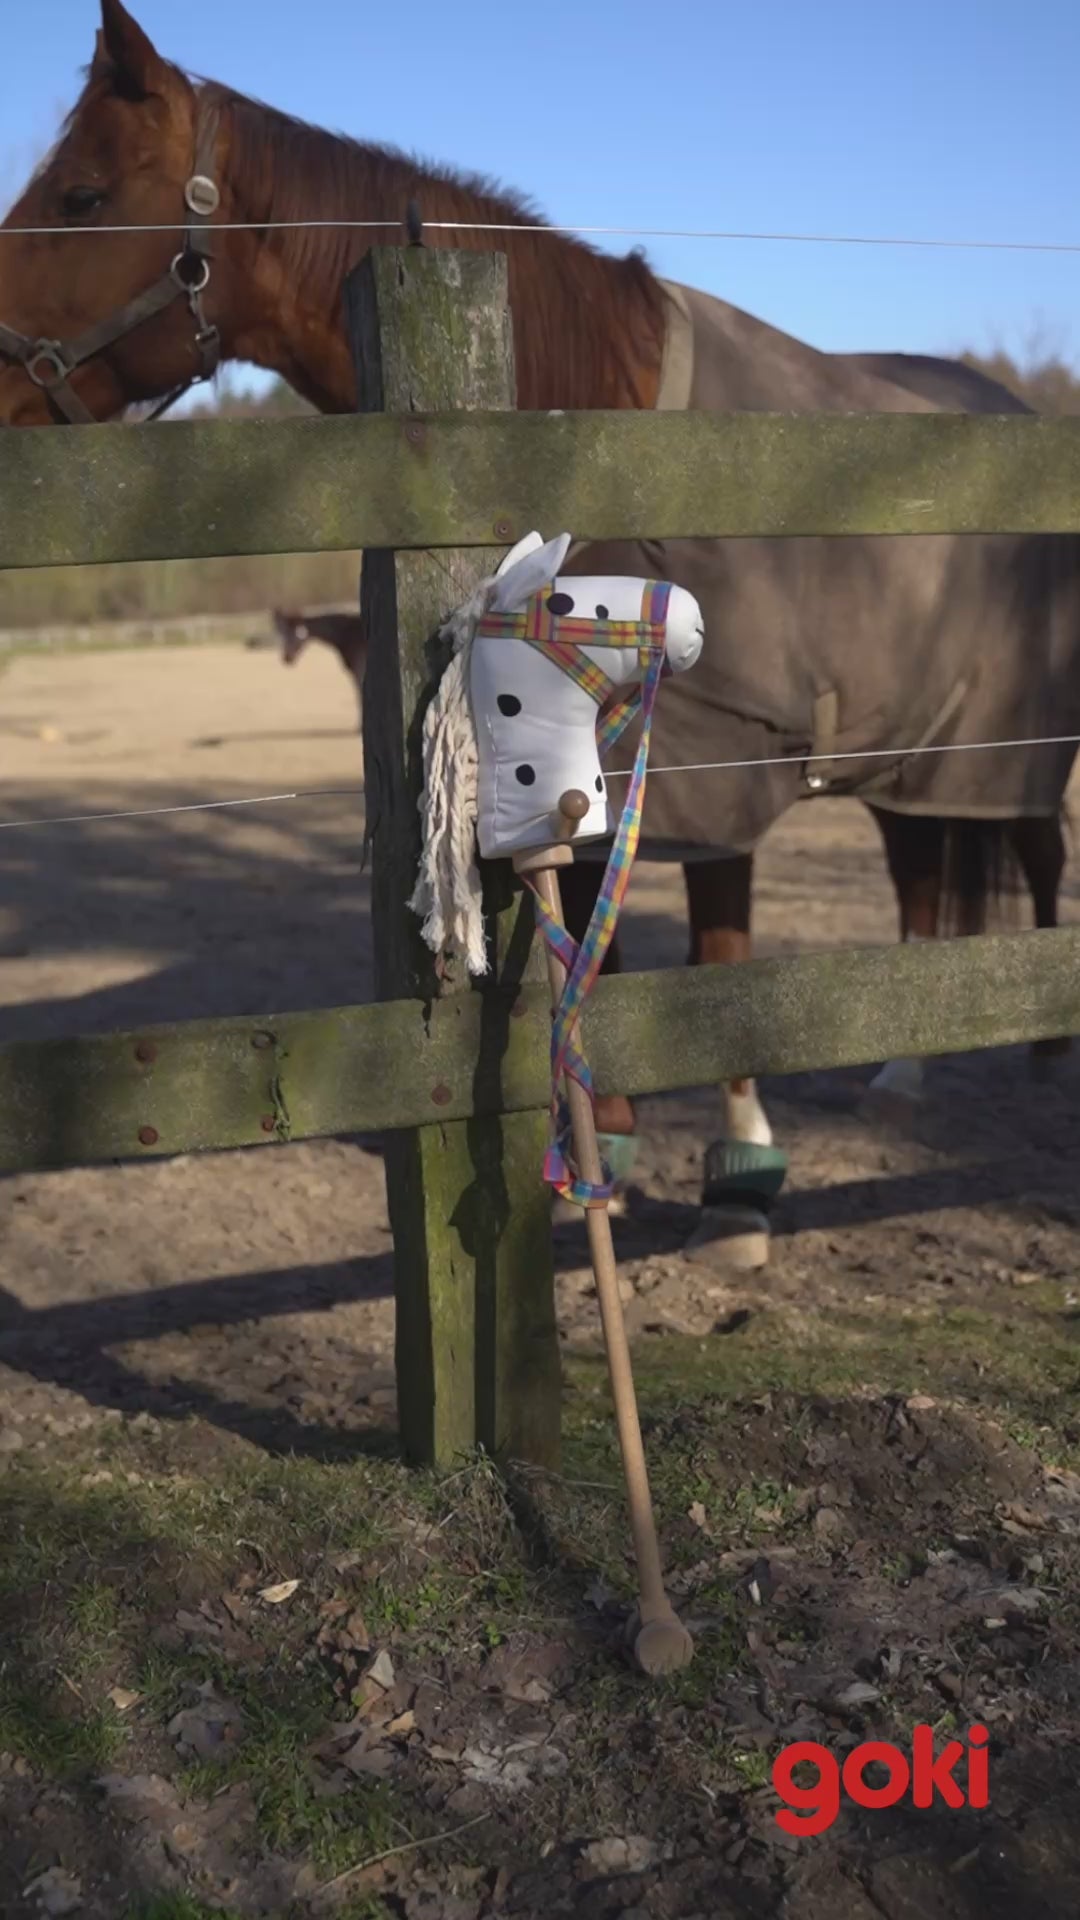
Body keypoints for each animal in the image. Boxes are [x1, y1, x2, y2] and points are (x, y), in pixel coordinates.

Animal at [3, 0, 1077, 1235]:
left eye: (82, 195)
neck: (596, 420)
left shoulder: (724, 760)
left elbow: (720, 948)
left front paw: (742, 1174)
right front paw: (602, 1127)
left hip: (997, 745)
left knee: (1020, 855)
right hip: (910, 750)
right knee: (923, 873)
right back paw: (902, 1075)